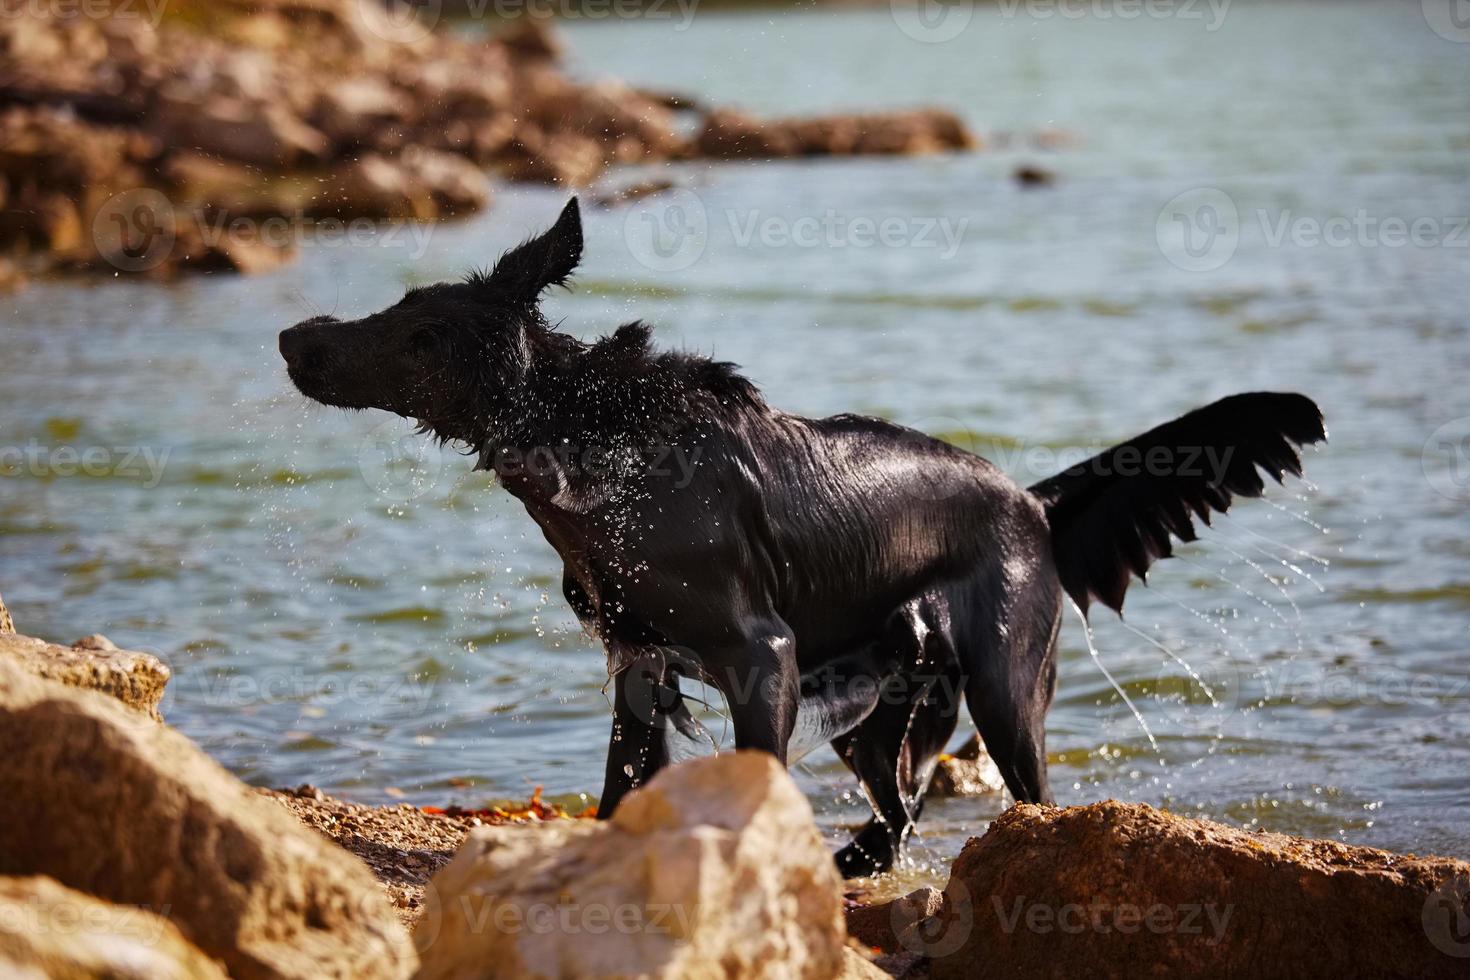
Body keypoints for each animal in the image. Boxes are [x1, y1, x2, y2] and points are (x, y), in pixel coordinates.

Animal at [280, 202, 1328, 875]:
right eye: (398, 309)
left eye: (419, 334)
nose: (296, 338)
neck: (599, 442)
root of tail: (1030, 500)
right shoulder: (639, 663)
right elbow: (622, 785)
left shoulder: (763, 655)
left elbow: (751, 776)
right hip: (881, 702)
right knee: (899, 801)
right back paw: (862, 858)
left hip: (1004, 681)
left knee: (1023, 796)